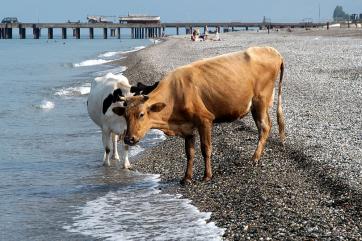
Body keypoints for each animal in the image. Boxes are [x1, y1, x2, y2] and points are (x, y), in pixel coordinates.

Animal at [113, 46, 286, 184]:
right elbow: (189, 153)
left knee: (264, 127)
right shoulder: (187, 127)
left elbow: (205, 148)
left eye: (141, 114)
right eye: (125, 116)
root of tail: (273, 51)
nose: (128, 139)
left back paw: (255, 158)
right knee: (267, 125)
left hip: (260, 100)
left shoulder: (205, 120)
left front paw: (207, 175)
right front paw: (186, 178)